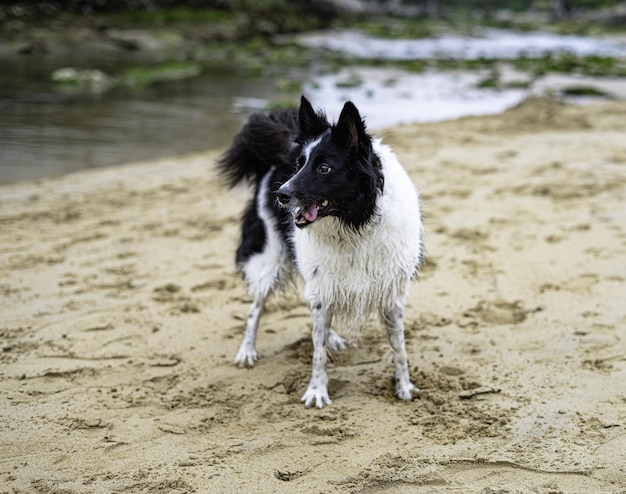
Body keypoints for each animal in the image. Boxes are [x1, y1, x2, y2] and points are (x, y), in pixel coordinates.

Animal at [217, 96, 422, 410]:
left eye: (324, 168)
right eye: (298, 165)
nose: (281, 195)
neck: (353, 222)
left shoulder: (391, 291)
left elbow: (399, 347)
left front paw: (404, 387)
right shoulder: (322, 283)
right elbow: (317, 351)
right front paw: (316, 391)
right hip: (269, 259)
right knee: (256, 308)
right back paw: (247, 350)